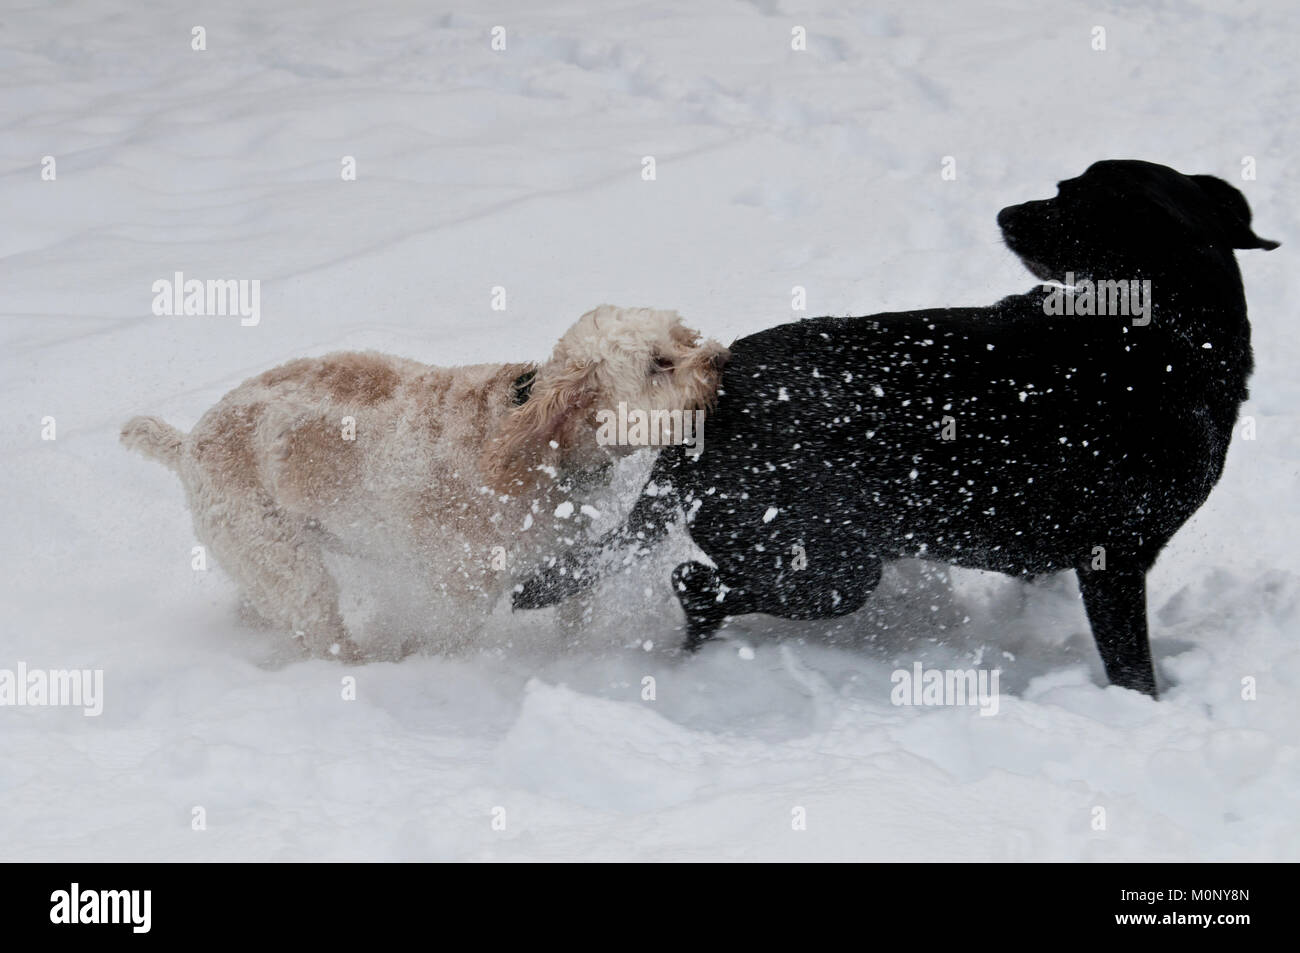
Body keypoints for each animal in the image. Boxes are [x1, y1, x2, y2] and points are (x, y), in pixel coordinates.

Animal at [122, 306, 728, 660]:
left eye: (682, 335)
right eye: (658, 364)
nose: (720, 359)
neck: (539, 451)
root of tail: (190, 443)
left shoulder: (566, 559)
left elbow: (574, 616)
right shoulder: (459, 592)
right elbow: (441, 640)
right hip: (286, 564)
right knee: (323, 632)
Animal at [512, 159, 1274, 696]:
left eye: (1068, 199)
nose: (1005, 211)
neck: (1165, 331)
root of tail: (702, 416)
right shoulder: (1113, 564)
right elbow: (1134, 674)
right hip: (835, 569)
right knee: (696, 583)